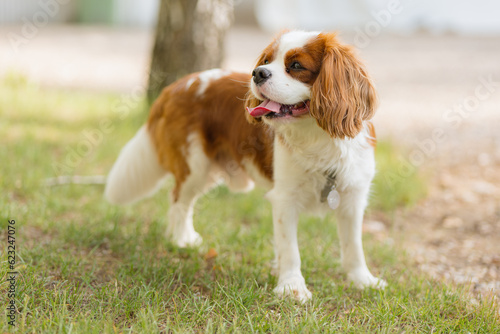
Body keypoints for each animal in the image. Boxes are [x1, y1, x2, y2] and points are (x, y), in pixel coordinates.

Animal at [104, 31, 386, 302]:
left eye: (296, 65)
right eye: (266, 61)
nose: (258, 73)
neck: (319, 136)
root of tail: (175, 86)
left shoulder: (353, 197)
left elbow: (354, 246)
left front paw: (363, 281)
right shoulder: (285, 199)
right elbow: (290, 250)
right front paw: (292, 287)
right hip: (195, 166)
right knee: (178, 201)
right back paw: (180, 241)